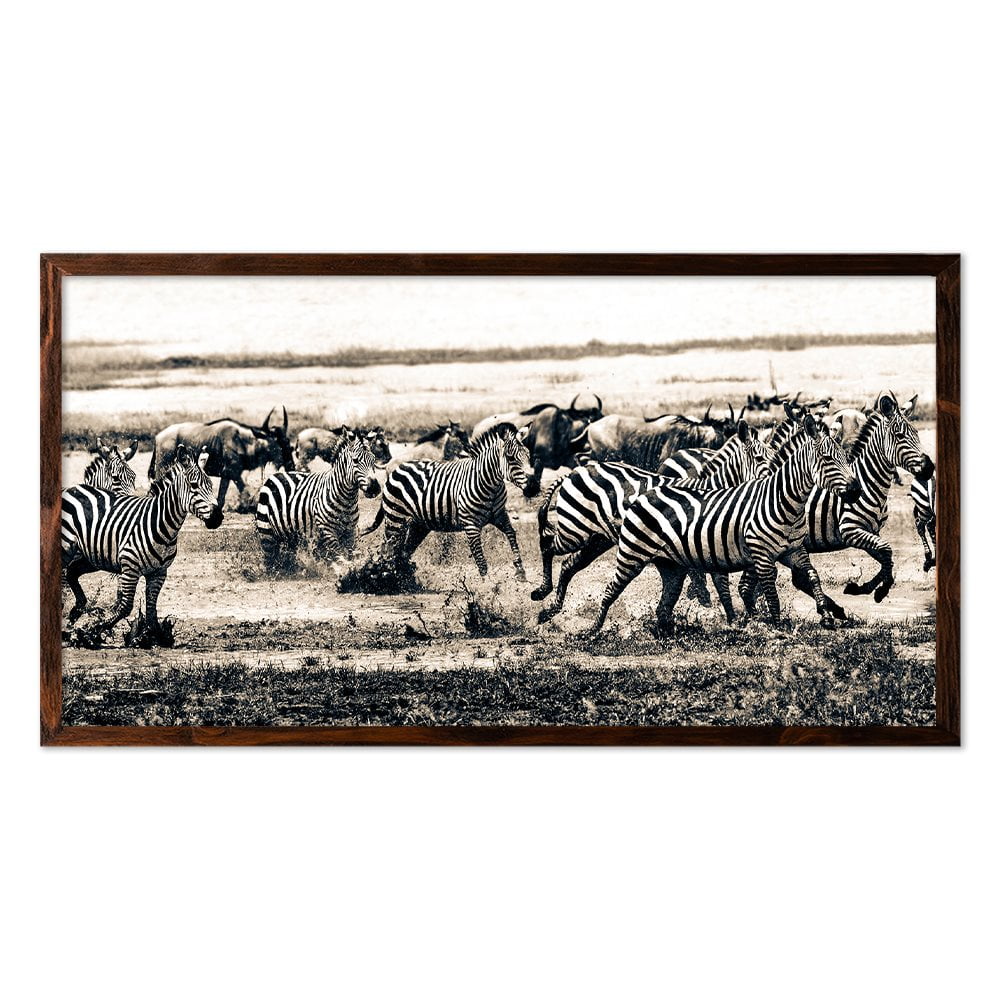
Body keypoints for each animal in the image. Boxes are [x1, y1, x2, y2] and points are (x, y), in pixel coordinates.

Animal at [61, 446, 223, 644]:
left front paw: (156, 636)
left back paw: (75, 614)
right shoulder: (130, 568)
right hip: (67, 549)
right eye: (194, 486)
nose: (218, 517)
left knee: (71, 572)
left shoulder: (159, 573)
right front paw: (93, 631)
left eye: (211, 485)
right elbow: (125, 607)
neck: (162, 525)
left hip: (92, 557)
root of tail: (72, 488)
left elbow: (152, 610)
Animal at [255, 430, 381, 572]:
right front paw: (344, 571)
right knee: (270, 559)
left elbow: (350, 554)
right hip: (266, 532)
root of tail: (276, 475)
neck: (346, 500)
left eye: (373, 460)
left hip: (291, 534)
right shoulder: (326, 530)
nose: (374, 487)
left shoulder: (350, 531)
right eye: (355, 460)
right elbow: (339, 555)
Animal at [361, 422, 533, 579]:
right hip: (396, 519)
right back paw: (383, 577)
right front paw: (487, 585)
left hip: (418, 525)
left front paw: (520, 571)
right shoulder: (470, 525)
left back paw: (403, 579)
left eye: (528, 456)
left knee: (403, 552)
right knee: (387, 549)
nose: (534, 486)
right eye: (510, 458)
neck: (489, 485)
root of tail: (396, 469)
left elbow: (511, 534)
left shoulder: (499, 515)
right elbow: (479, 557)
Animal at [531, 421, 774, 623]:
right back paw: (542, 591)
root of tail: (576, 471)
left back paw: (550, 610)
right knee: (548, 545)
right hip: (575, 529)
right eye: (760, 459)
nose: (773, 482)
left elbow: (719, 586)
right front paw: (736, 620)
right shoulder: (706, 542)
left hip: (597, 539)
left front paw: (736, 619)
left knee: (568, 565)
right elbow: (718, 584)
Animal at [582, 415, 860, 637]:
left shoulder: (794, 550)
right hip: (632, 555)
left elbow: (813, 576)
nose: (856, 489)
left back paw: (668, 632)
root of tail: (642, 496)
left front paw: (826, 616)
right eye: (827, 459)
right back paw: (593, 630)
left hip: (671, 566)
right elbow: (770, 592)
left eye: (846, 457)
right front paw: (776, 626)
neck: (786, 503)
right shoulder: (760, 555)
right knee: (610, 589)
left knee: (665, 602)